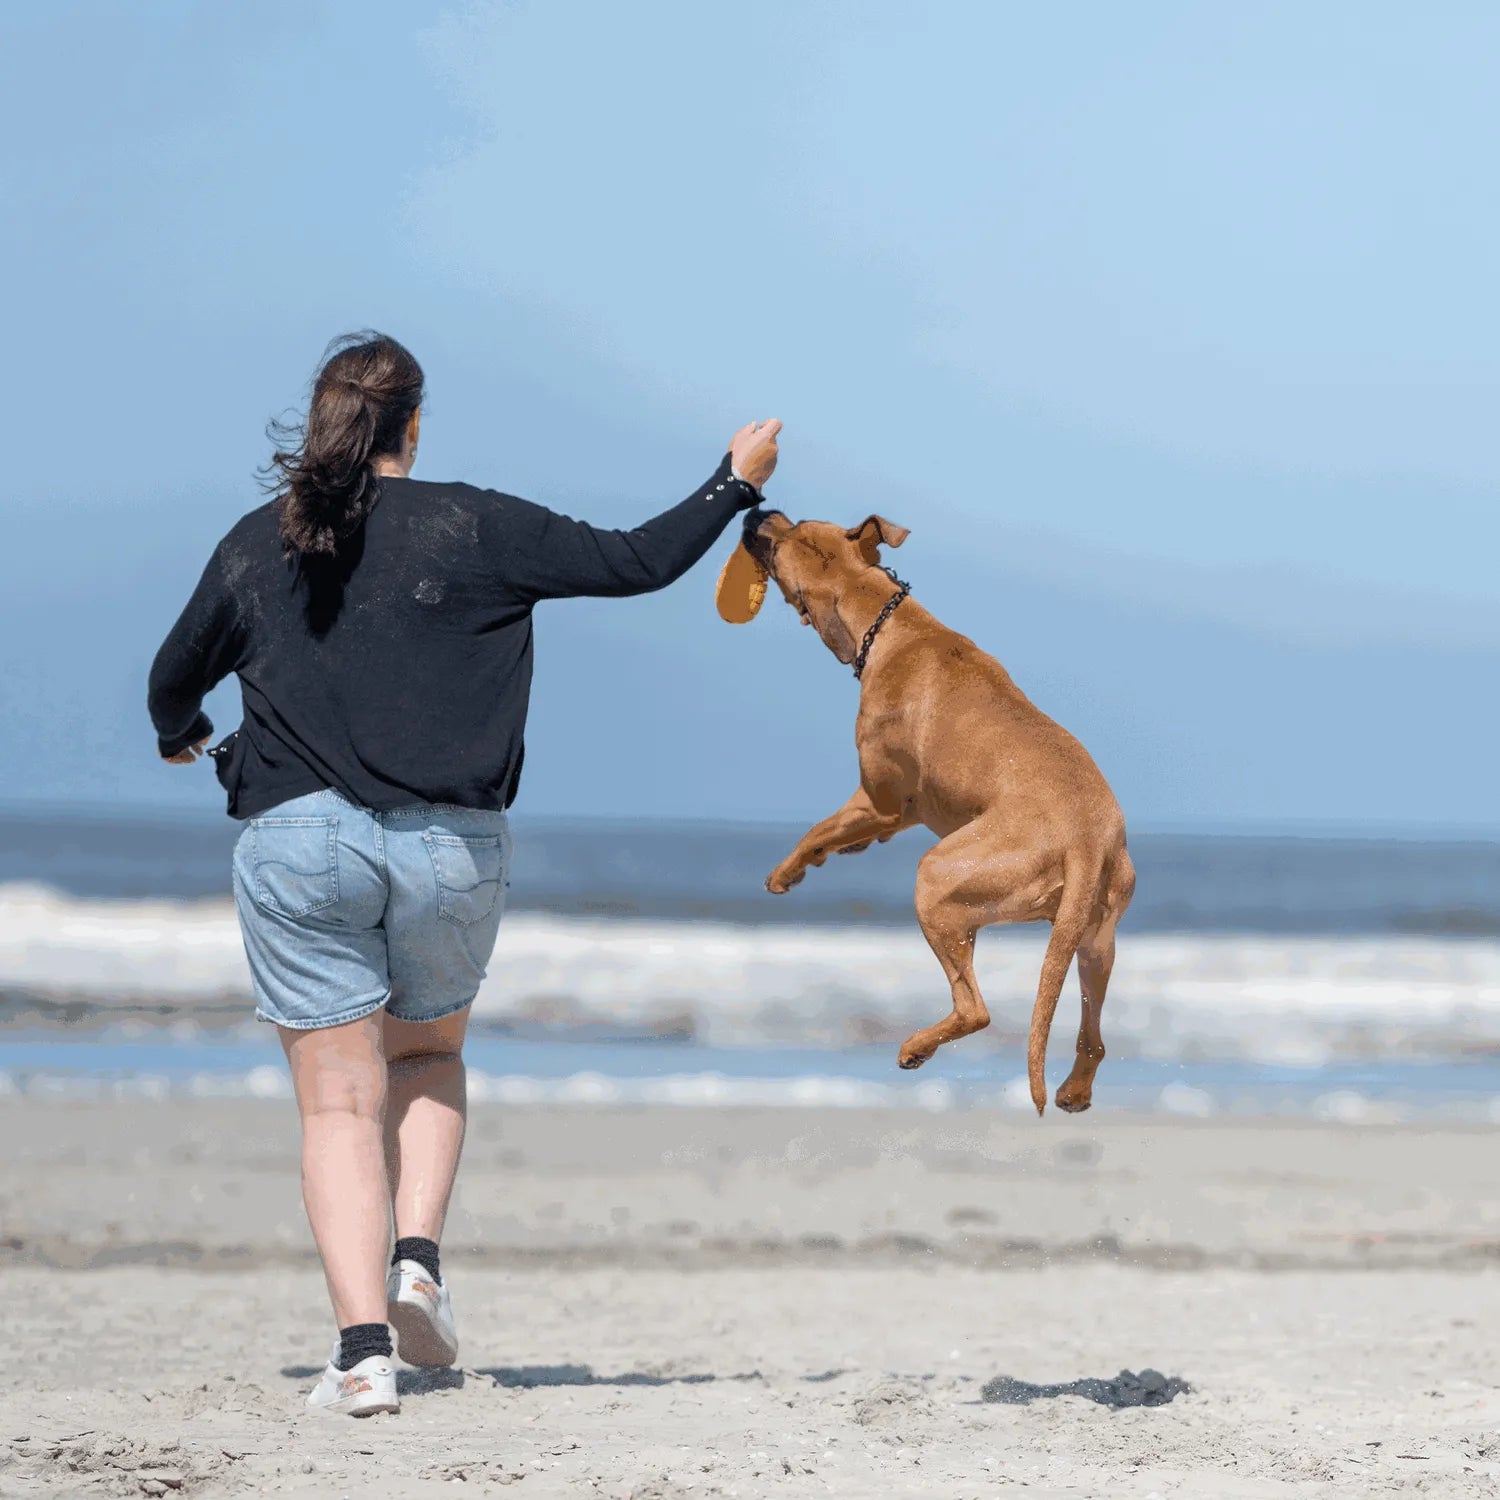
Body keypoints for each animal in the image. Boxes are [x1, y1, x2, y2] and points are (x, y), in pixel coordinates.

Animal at [729, 510, 1134, 1110]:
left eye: (786, 533)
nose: (757, 512)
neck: (889, 623)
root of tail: (1086, 838)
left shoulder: (878, 799)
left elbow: (819, 828)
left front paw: (788, 871)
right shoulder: (901, 812)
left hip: (939, 879)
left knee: (974, 1009)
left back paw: (916, 1048)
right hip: (1093, 941)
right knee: (1092, 1033)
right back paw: (1075, 1091)